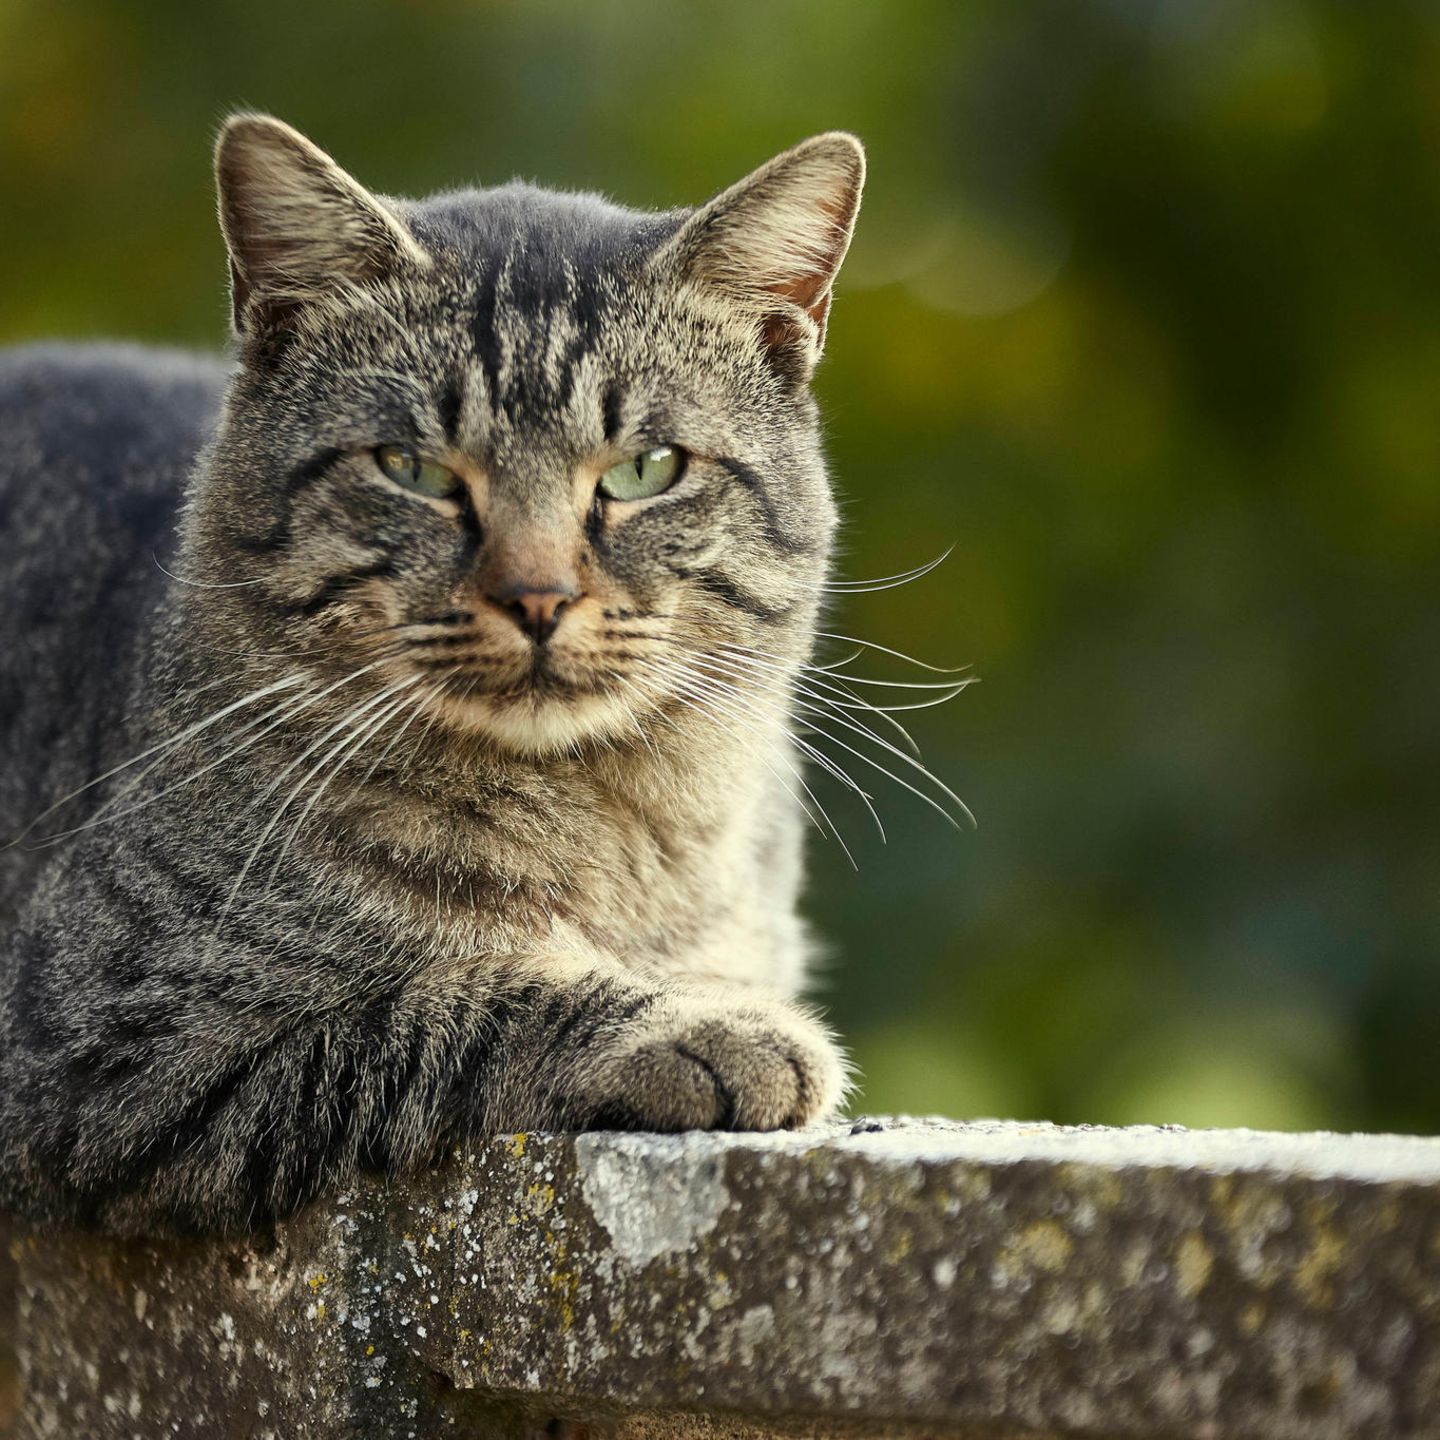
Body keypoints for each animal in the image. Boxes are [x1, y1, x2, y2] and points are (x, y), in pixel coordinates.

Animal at [0, 115, 881, 1238]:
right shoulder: (103, 1046)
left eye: (645, 470)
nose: (538, 595)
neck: (603, 840)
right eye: (412, 469)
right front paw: (704, 1028)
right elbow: (459, 998)